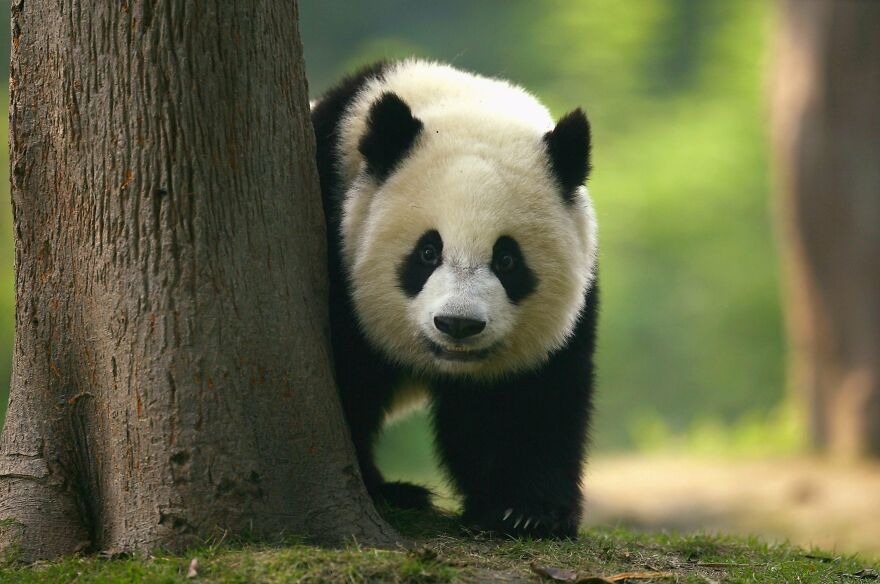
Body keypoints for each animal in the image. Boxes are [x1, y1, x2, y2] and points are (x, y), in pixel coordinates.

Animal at [311, 59, 599, 539]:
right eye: (428, 252)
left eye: (507, 260)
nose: (458, 324)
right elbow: (348, 380)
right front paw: (377, 489)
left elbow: (527, 398)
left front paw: (527, 511)